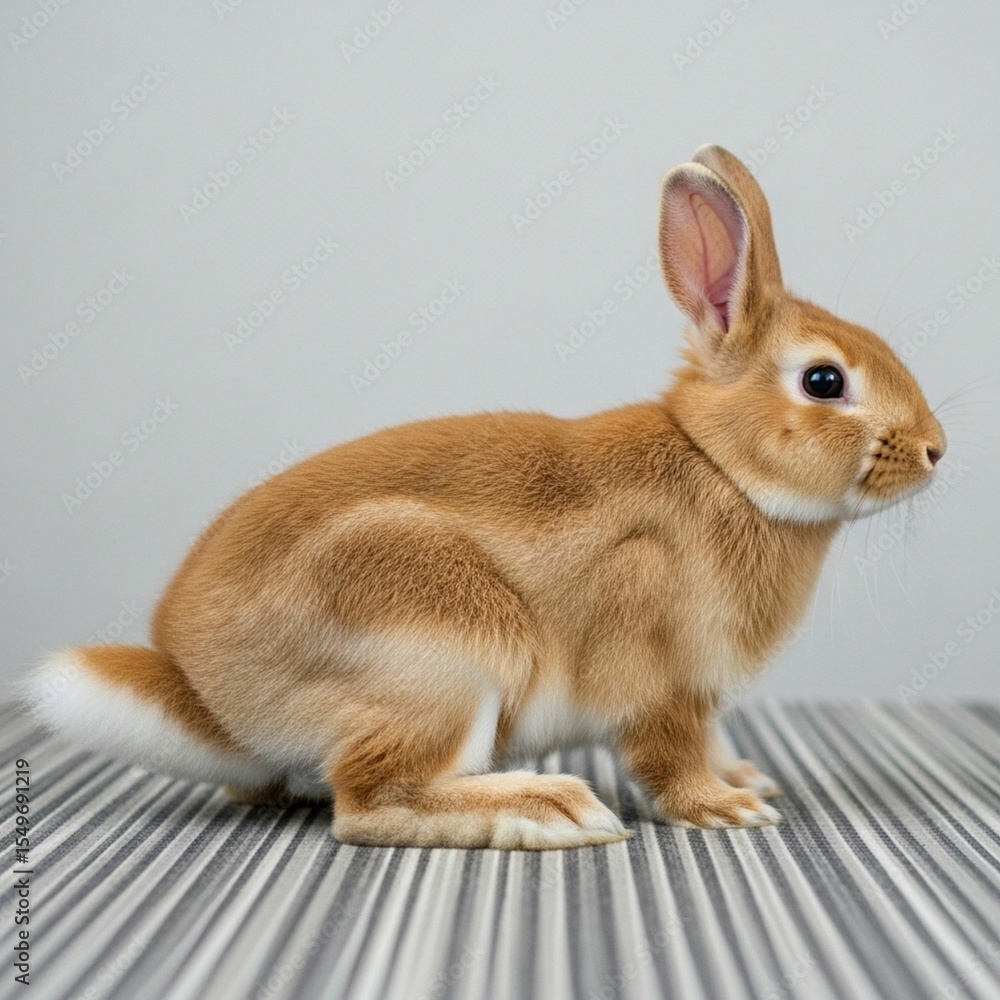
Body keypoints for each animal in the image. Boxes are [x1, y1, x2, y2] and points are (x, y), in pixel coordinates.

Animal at [26, 144, 946, 850]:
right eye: (823, 381)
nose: (937, 449)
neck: (721, 465)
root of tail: (204, 694)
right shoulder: (658, 674)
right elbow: (668, 753)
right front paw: (726, 808)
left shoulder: (702, 696)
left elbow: (712, 737)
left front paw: (746, 776)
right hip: (447, 648)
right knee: (369, 803)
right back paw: (549, 809)